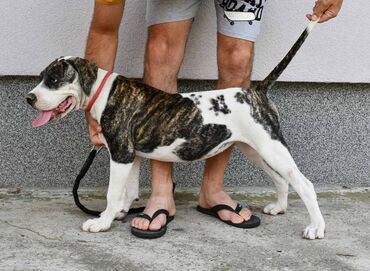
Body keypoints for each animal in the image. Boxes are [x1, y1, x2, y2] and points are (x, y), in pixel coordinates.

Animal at [26, 19, 324, 240]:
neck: (102, 90)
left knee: (305, 184)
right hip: (256, 148)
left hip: (270, 148)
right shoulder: (132, 155)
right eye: (41, 77)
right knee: (282, 179)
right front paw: (121, 212)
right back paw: (279, 207)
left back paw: (316, 228)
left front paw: (102, 222)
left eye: (54, 80)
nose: (29, 98)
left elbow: (113, 191)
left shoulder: (121, 154)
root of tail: (256, 90)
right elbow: (128, 190)